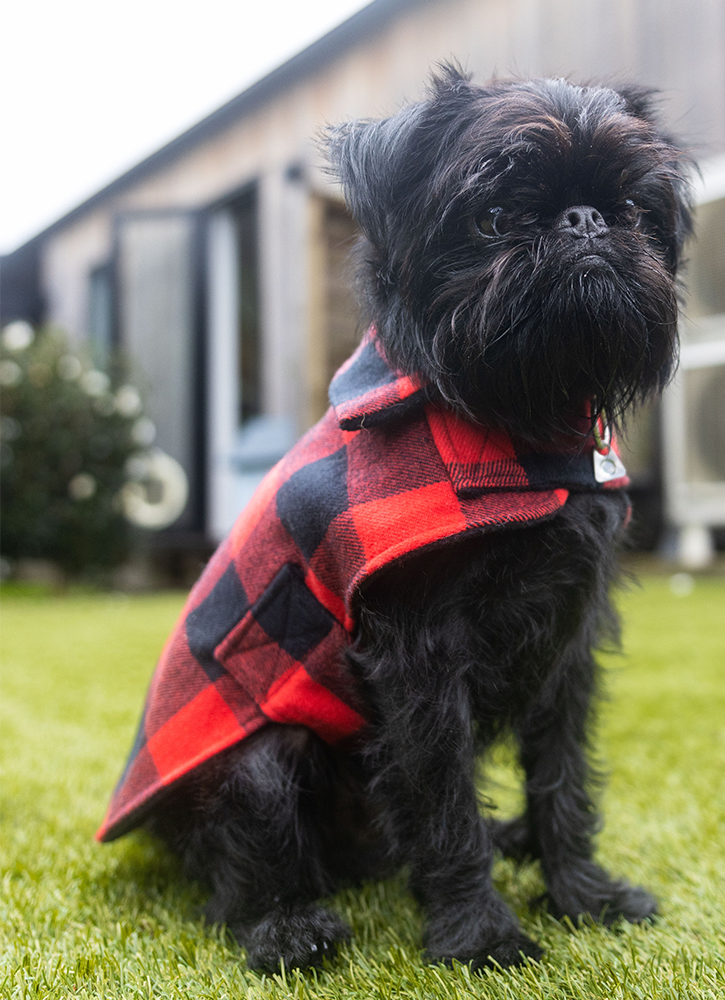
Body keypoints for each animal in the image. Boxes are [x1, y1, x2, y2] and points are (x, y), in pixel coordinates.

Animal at [100, 72, 692, 976]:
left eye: (630, 208)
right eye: (493, 215)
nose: (584, 222)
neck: (519, 429)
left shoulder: (568, 643)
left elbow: (561, 777)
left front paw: (581, 896)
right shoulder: (421, 659)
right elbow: (444, 803)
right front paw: (479, 936)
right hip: (262, 756)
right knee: (241, 875)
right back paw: (288, 928)